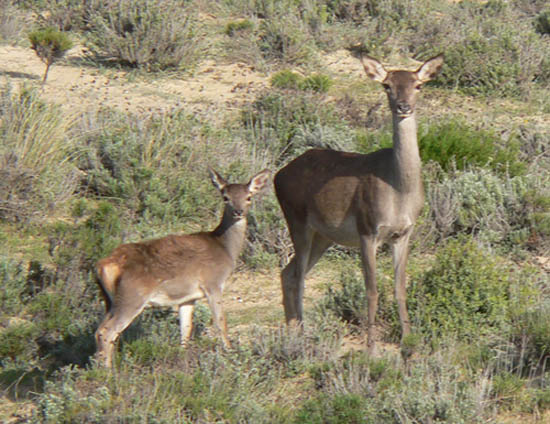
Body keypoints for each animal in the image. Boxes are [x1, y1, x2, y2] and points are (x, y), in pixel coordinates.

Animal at [95, 169, 272, 368]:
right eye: (225, 197)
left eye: (249, 197)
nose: (238, 212)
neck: (225, 249)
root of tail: (102, 266)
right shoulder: (213, 283)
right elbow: (221, 323)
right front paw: (230, 353)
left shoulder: (188, 297)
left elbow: (186, 330)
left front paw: (183, 357)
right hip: (131, 296)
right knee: (106, 332)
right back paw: (107, 371)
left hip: (111, 301)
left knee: (102, 332)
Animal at [274, 54, 444, 356]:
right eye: (387, 85)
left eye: (419, 85)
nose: (403, 106)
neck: (399, 191)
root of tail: (277, 175)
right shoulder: (368, 229)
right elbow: (371, 289)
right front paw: (371, 349)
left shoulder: (403, 233)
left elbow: (400, 287)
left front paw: (408, 343)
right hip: (296, 220)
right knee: (298, 276)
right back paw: (302, 335)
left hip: (323, 236)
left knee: (288, 272)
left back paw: (293, 332)